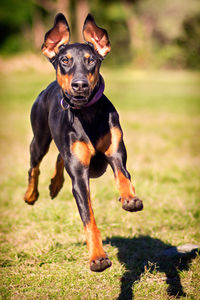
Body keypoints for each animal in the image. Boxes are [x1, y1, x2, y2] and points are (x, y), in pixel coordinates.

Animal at [24, 13, 144, 272]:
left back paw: (55, 184)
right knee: (34, 165)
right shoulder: (79, 175)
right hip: (40, 138)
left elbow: (123, 176)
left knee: (59, 156)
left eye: (91, 61)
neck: (87, 115)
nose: (80, 84)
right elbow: (88, 217)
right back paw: (31, 195)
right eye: (65, 60)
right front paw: (98, 257)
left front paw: (130, 199)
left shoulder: (116, 152)